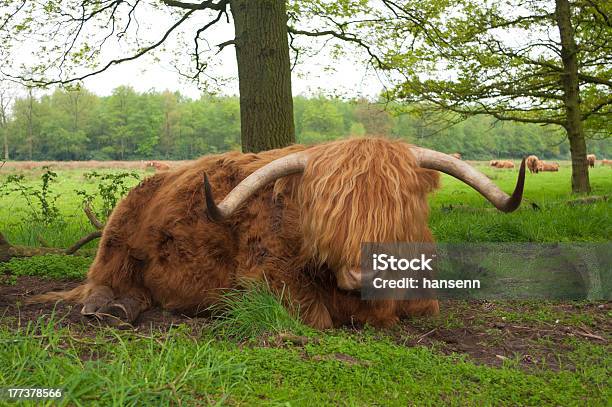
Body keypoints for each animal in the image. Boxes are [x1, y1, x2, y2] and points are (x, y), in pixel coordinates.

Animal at [29, 139, 524, 330]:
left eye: (398, 207)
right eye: (325, 208)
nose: (363, 273)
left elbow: (424, 308)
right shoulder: (264, 279)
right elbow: (316, 316)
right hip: (116, 238)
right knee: (103, 279)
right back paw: (107, 307)